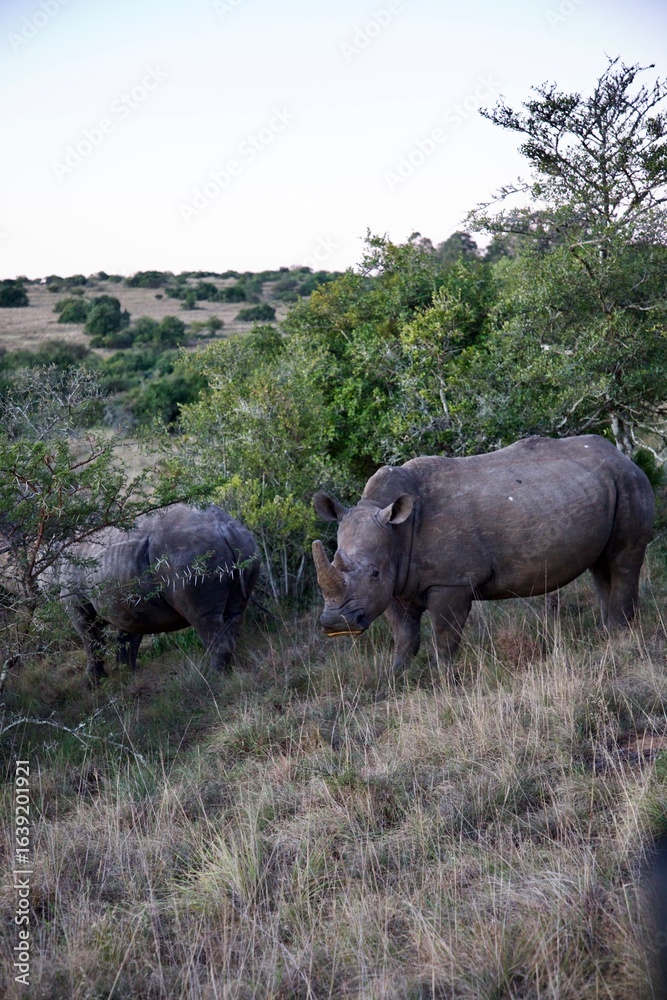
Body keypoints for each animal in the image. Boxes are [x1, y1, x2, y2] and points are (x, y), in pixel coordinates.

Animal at [55, 503, 260, 680]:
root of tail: (225, 528)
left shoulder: (77, 604)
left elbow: (91, 640)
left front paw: (92, 681)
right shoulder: (128, 602)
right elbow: (127, 638)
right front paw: (125, 676)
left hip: (191, 555)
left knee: (203, 617)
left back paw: (211, 679)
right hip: (247, 547)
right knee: (234, 613)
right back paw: (227, 674)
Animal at [312, 435, 654, 670]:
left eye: (373, 573)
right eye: (334, 562)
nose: (336, 623)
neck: (396, 528)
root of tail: (622, 455)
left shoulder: (450, 582)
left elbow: (445, 635)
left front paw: (443, 679)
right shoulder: (396, 582)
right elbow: (404, 636)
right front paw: (397, 679)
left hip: (628, 482)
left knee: (622, 559)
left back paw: (620, 636)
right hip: (603, 485)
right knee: (601, 565)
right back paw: (607, 633)